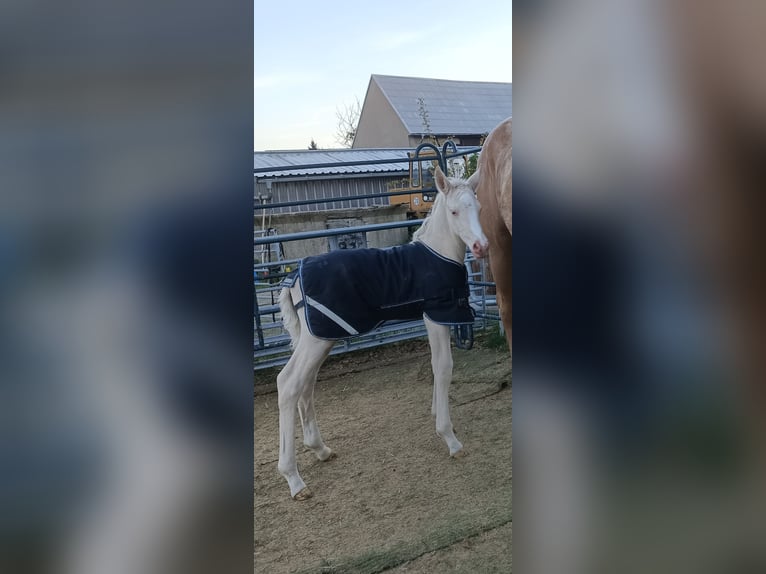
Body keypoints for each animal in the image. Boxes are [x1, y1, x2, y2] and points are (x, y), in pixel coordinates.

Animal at [275, 166, 489, 500]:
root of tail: (293, 275)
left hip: (321, 336)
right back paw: (295, 480)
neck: (437, 252)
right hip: (316, 339)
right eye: (454, 211)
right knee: (288, 383)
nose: (481, 247)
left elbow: (436, 366)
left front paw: (436, 415)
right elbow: (443, 366)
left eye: (478, 208)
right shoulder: (435, 315)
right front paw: (450, 439)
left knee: (305, 384)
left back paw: (320, 449)